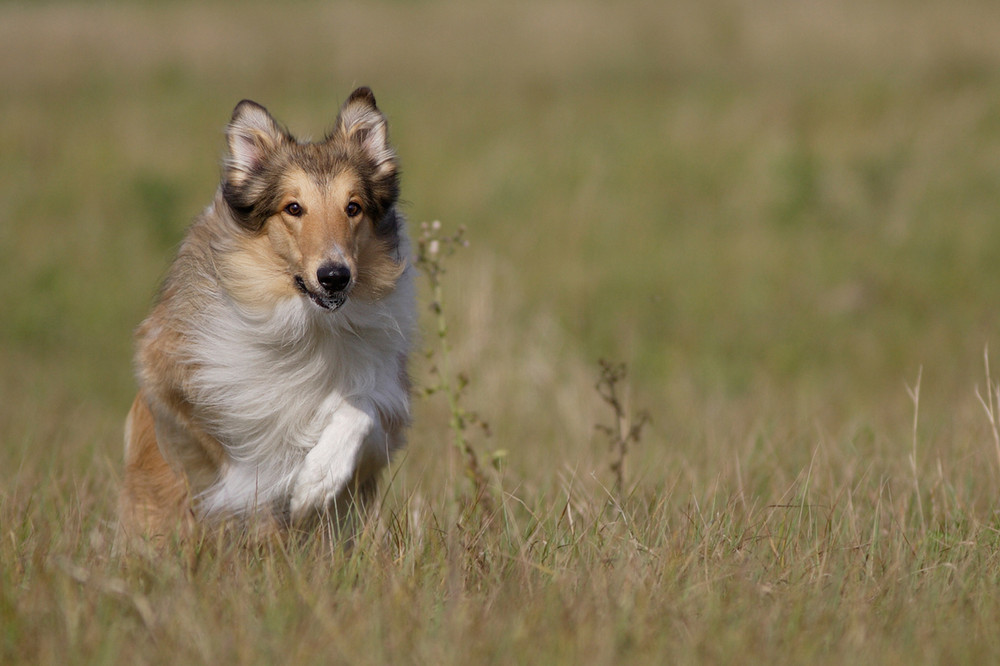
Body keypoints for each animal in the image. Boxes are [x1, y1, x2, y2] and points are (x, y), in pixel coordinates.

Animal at [120, 85, 414, 536]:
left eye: (353, 207)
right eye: (293, 208)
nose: (335, 277)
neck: (308, 326)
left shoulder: (385, 397)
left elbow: (359, 410)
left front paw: (314, 483)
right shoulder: (181, 380)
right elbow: (250, 453)